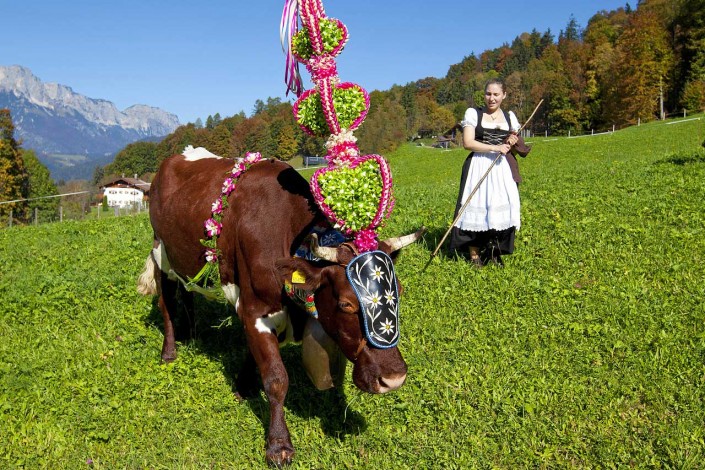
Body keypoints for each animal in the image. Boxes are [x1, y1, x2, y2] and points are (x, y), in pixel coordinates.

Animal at [138, 148, 424, 466]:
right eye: (346, 303)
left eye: (398, 291)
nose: (394, 379)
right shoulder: (255, 309)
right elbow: (276, 378)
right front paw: (278, 445)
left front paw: (244, 385)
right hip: (160, 252)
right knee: (166, 302)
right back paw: (169, 351)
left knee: (187, 293)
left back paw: (191, 334)